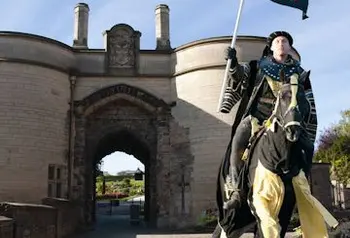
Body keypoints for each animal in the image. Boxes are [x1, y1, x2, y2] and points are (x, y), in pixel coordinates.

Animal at [213, 71, 314, 238]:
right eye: (283, 97)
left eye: (304, 100)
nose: (293, 131)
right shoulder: (259, 200)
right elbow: (267, 228)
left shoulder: (287, 204)